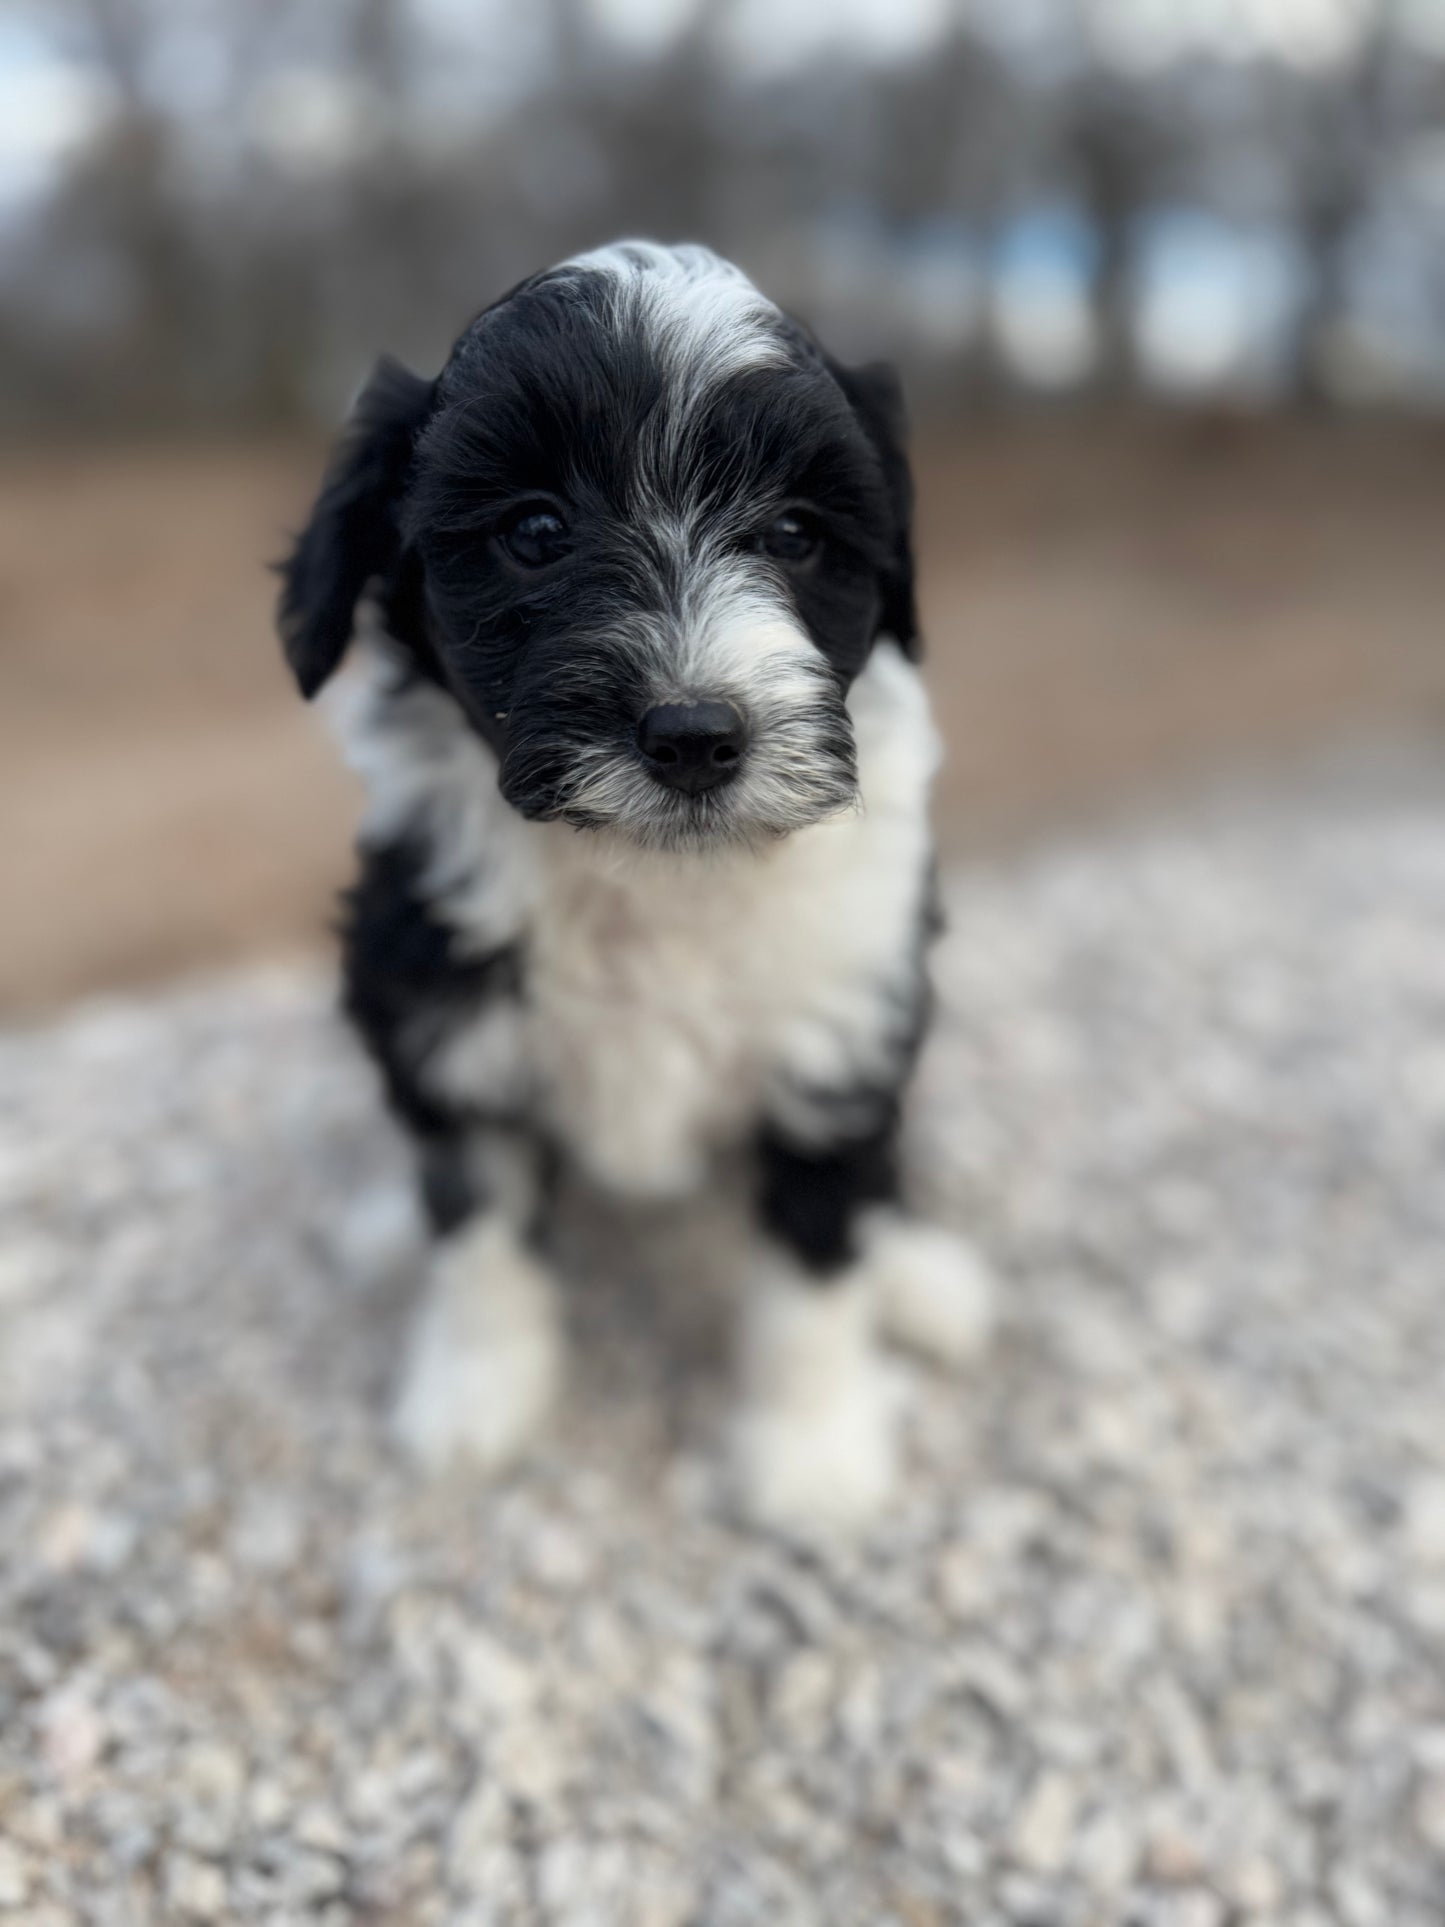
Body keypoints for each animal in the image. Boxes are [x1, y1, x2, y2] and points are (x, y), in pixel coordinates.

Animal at [275, 244, 994, 1533]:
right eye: (535, 529)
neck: (650, 878)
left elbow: (816, 1253)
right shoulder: (441, 1013)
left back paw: (919, 1278)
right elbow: (478, 1227)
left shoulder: (840, 1027)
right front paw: (474, 1397)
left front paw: (811, 1453)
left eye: (796, 531)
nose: (694, 733)